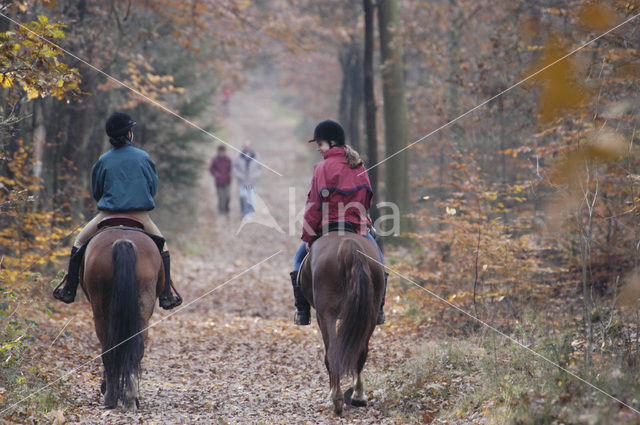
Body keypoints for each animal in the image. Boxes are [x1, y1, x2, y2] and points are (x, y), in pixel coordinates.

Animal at [80, 227, 164, 410]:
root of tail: (123, 242)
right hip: (143, 307)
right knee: (136, 348)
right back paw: (130, 397)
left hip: (100, 311)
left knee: (107, 348)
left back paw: (112, 397)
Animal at [302, 232, 384, 414]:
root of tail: (348, 245)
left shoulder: (322, 316)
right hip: (371, 313)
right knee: (361, 351)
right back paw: (358, 396)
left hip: (327, 315)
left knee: (332, 353)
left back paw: (336, 399)